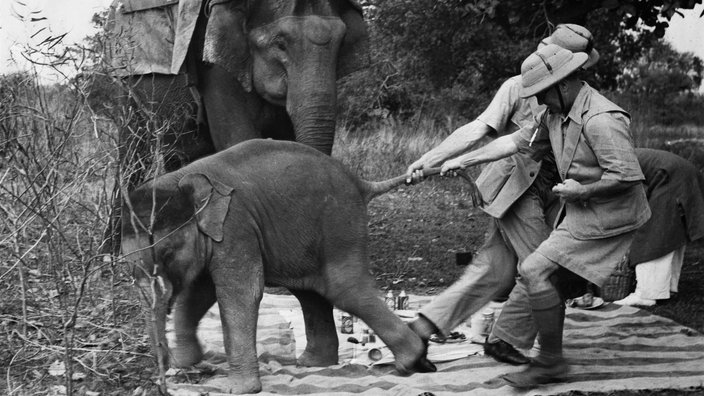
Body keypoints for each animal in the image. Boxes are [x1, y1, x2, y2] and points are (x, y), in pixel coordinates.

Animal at [121, 138, 434, 392]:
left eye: (167, 254)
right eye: (126, 266)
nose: (165, 373)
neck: (178, 180)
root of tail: (359, 181)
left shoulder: (236, 225)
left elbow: (239, 293)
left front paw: (238, 390)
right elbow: (199, 293)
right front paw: (187, 363)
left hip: (340, 223)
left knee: (344, 289)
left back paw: (410, 361)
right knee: (312, 293)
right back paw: (312, 364)